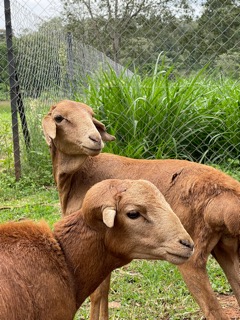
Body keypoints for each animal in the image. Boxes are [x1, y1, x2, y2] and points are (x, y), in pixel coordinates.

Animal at [42, 100, 240, 320]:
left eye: (91, 117)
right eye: (59, 118)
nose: (95, 139)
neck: (78, 176)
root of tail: (229, 193)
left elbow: (96, 294)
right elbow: (104, 291)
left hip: (191, 254)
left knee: (214, 312)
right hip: (227, 248)